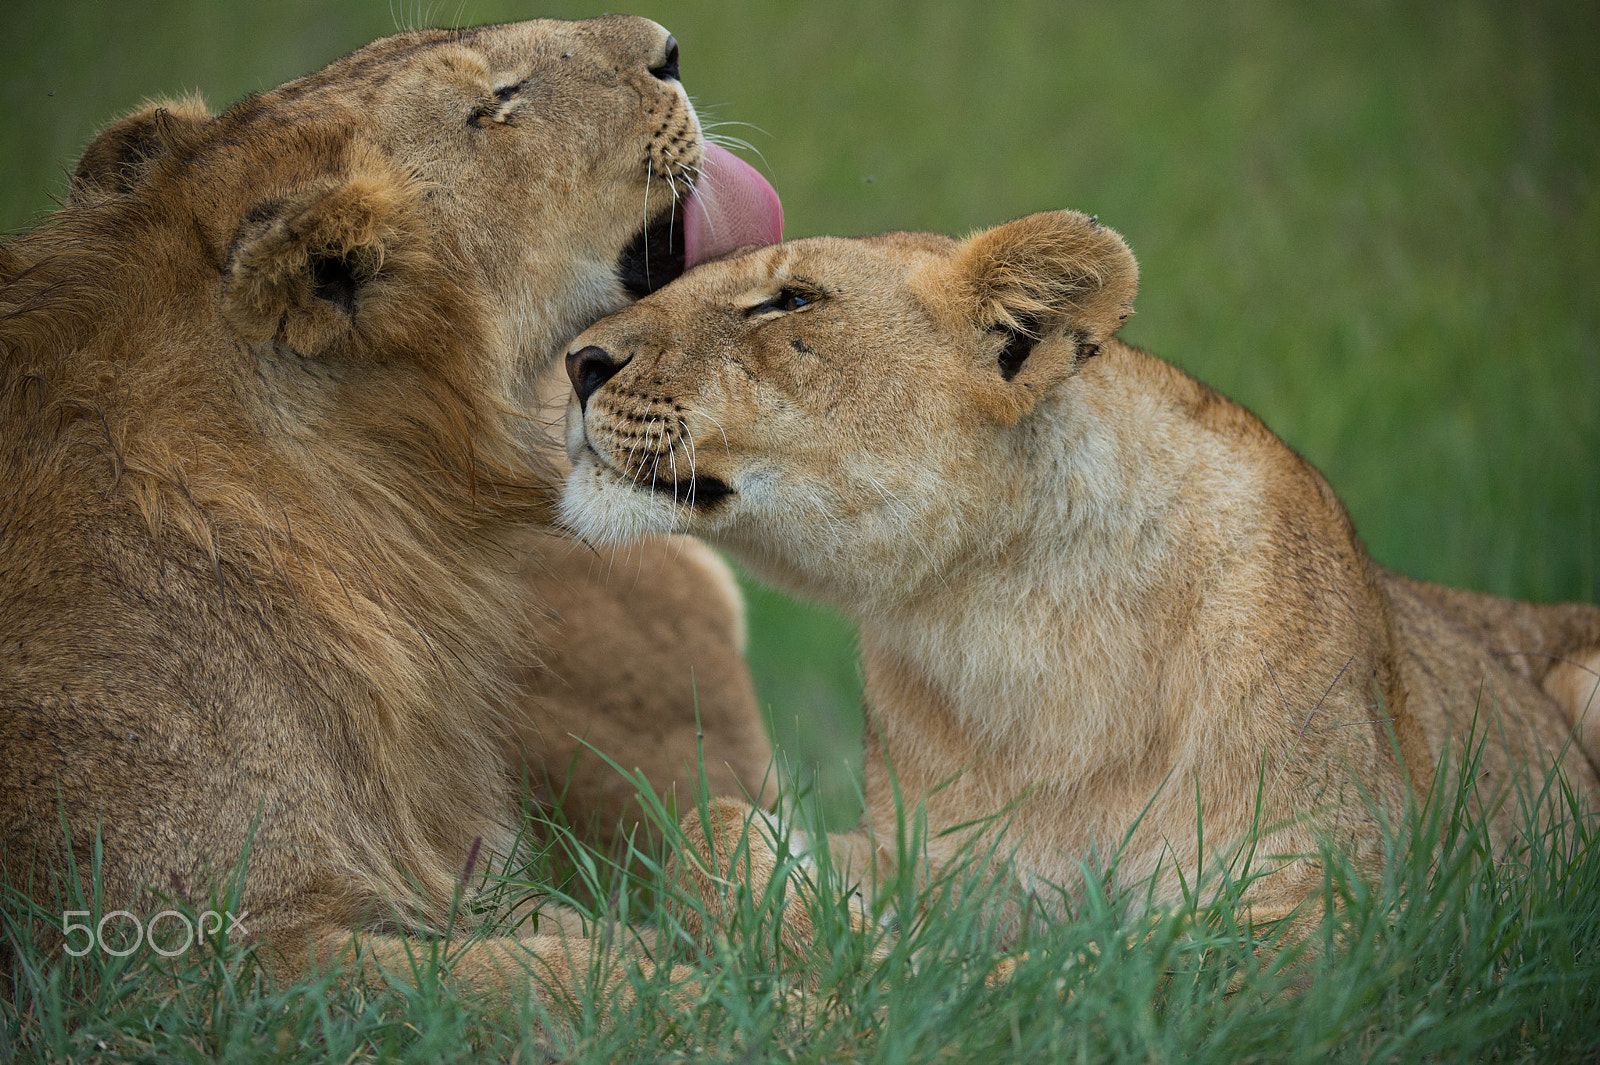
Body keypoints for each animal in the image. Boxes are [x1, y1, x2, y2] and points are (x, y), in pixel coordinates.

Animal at [560, 210, 1600, 929]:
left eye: (792, 300)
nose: (575, 362)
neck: (1009, 614)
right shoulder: (933, 860)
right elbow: (708, 835)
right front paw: (851, 939)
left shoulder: (1326, 886)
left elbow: (1109, 973)